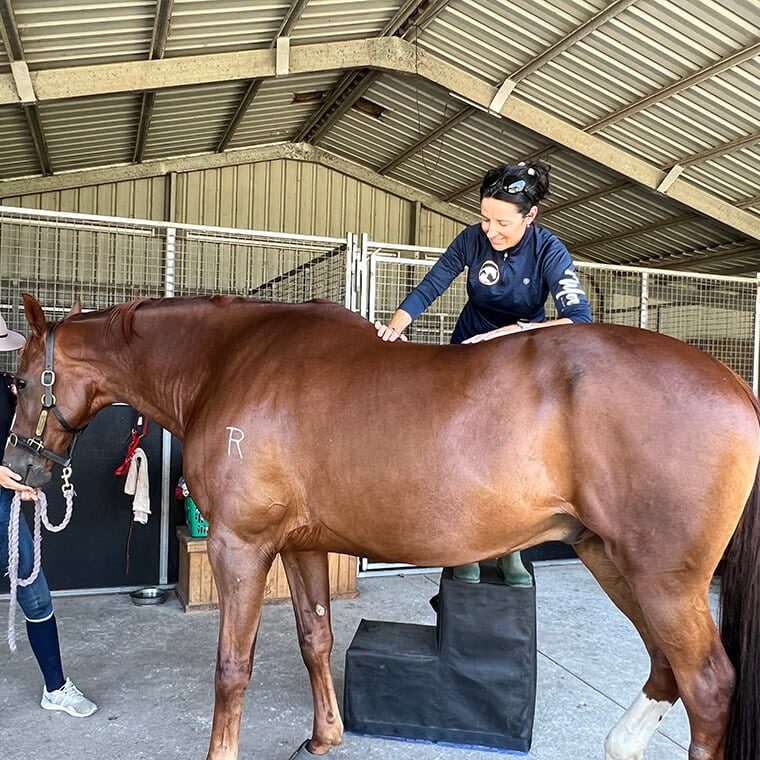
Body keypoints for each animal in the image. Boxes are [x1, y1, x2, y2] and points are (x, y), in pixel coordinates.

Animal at [3, 293, 759, 760]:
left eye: (20, 381)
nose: (17, 471)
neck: (228, 362)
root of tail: (737, 387)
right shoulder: (300, 546)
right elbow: (315, 638)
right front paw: (323, 738)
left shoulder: (241, 546)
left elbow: (231, 667)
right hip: (614, 559)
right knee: (666, 669)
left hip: (664, 580)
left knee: (708, 686)